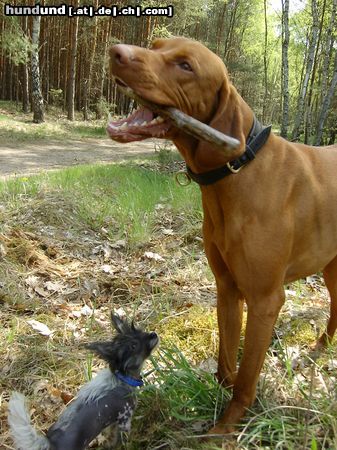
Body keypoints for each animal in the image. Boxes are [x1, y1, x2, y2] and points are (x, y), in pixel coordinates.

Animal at [8, 314, 158, 450]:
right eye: (134, 345)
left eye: (139, 331)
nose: (154, 334)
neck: (121, 378)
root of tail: (50, 443)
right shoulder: (124, 420)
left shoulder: (112, 424)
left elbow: (111, 438)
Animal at [107, 37, 336, 432]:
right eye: (155, 45)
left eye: (186, 66)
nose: (116, 52)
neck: (238, 168)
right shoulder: (228, 288)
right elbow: (226, 362)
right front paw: (218, 399)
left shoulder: (265, 300)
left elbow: (246, 377)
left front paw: (226, 430)